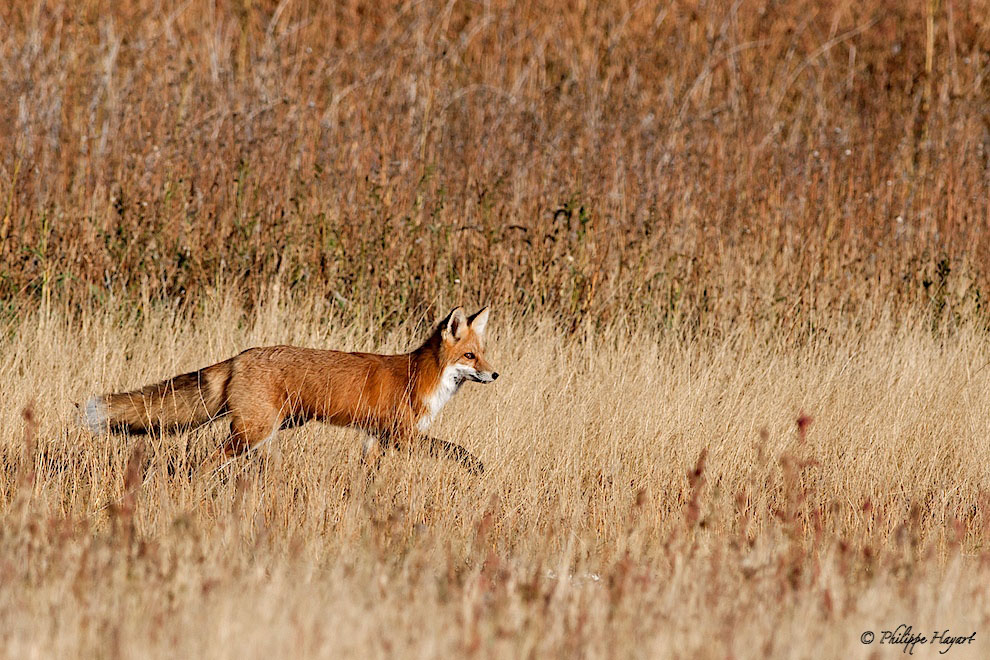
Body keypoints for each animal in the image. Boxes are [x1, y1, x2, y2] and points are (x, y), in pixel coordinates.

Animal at [84, 306, 500, 472]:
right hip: (252, 433)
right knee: (205, 463)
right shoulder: (402, 436)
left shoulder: (375, 439)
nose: (496, 374)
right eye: (469, 356)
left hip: (273, 429)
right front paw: (477, 468)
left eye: (483, 353)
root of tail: (240, 356)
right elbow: (457, 450)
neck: (420, 378)